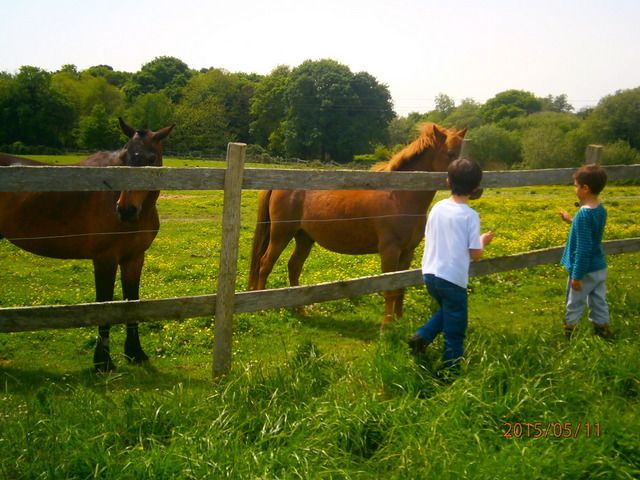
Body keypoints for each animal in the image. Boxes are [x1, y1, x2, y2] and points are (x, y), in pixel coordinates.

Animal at [0, 118, 175, 374]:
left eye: (151, 159)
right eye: (125, 157)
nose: (125, 209)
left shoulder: (134, 258)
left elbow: (132, 302)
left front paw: (135, 353)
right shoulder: (105, 259)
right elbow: (104, 304)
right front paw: (103, 362)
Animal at [249, 123, 464, 326]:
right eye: (450, 154)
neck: (399, 196)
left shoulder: (407, 252)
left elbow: (400, 286)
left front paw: (399, 319)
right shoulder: (390, 251)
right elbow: (389, 287)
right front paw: (387, 326)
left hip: (304, 238)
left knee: (294, 267)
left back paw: (300, 310)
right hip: (281, 235)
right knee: (265, 264)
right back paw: (262, 310)